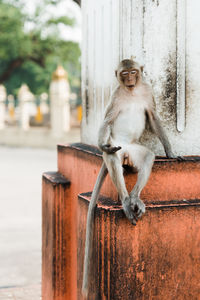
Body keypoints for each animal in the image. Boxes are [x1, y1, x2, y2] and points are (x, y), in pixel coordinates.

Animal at [82, 58, 177, 298]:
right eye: (124, 74)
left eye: (133, 71)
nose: (131, 79)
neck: (132, 92)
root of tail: (124, 149)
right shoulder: (115, 95)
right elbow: (107, 120)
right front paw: (100, 144)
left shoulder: (148, 90)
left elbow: (153, 117)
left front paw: (170, 151)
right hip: (117, 146)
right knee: (111, 156)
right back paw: (125, 200)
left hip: (133, 152)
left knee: (148, 156)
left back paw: (135, 198)